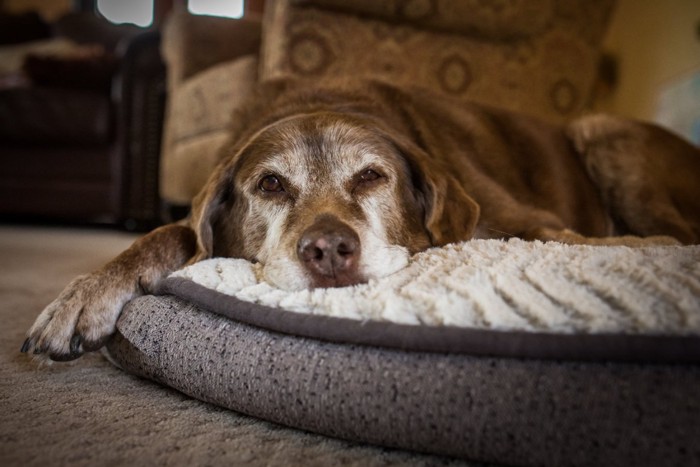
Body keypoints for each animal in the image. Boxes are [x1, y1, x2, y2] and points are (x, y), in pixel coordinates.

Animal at [20, 79, 700, 362]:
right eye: (270, 184)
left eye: (372, 176)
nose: (328, 250)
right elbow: (174, 232)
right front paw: (88, 293)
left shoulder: (527, 219)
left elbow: (564, 239)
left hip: (605, 133)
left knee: (673, 233)